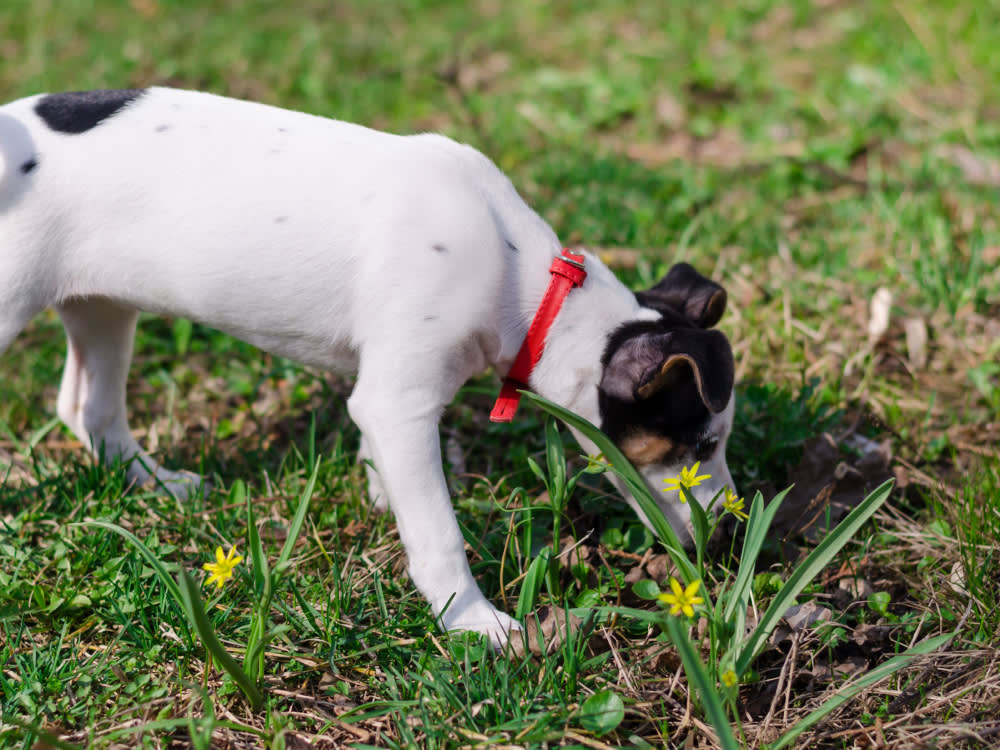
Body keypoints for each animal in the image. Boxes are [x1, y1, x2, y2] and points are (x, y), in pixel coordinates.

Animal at [0, 88, 736, 648]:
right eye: (697, 446)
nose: (730, 536)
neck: (530, 289)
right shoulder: (399, 401)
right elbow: (439, 534)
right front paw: (473, 622)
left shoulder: (383, 389)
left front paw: (381, 492)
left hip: (102, 305)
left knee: (88, 411)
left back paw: (158, 484)